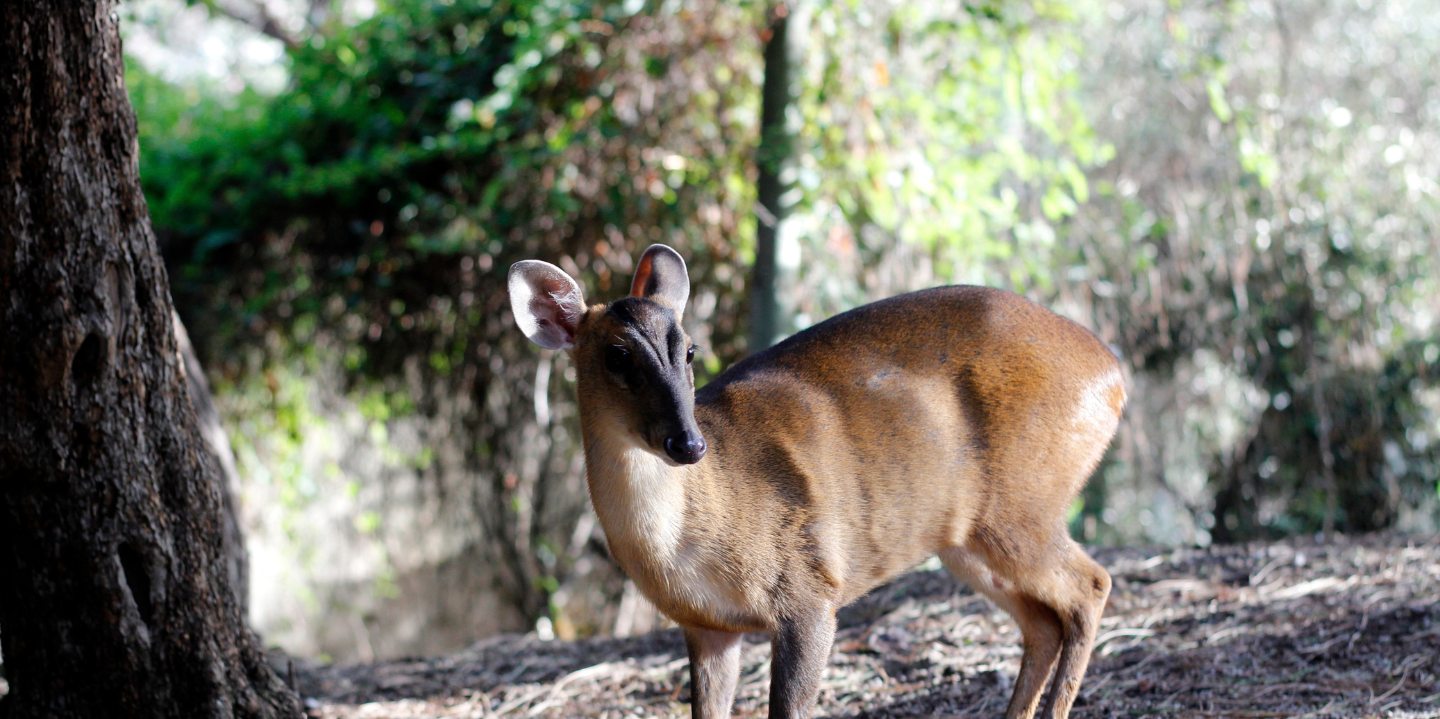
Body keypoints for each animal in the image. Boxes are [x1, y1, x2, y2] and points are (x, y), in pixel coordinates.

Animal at [512, 244, 1128, 717]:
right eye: (616, 356)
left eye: (688, 349)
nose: (687, 444)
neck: (692, 531)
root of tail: (1115, 374)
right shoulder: (706, 626)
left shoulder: (808, 591)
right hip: (966, 539)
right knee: (1044, 622)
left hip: (1022, 506)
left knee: (1092, 584)